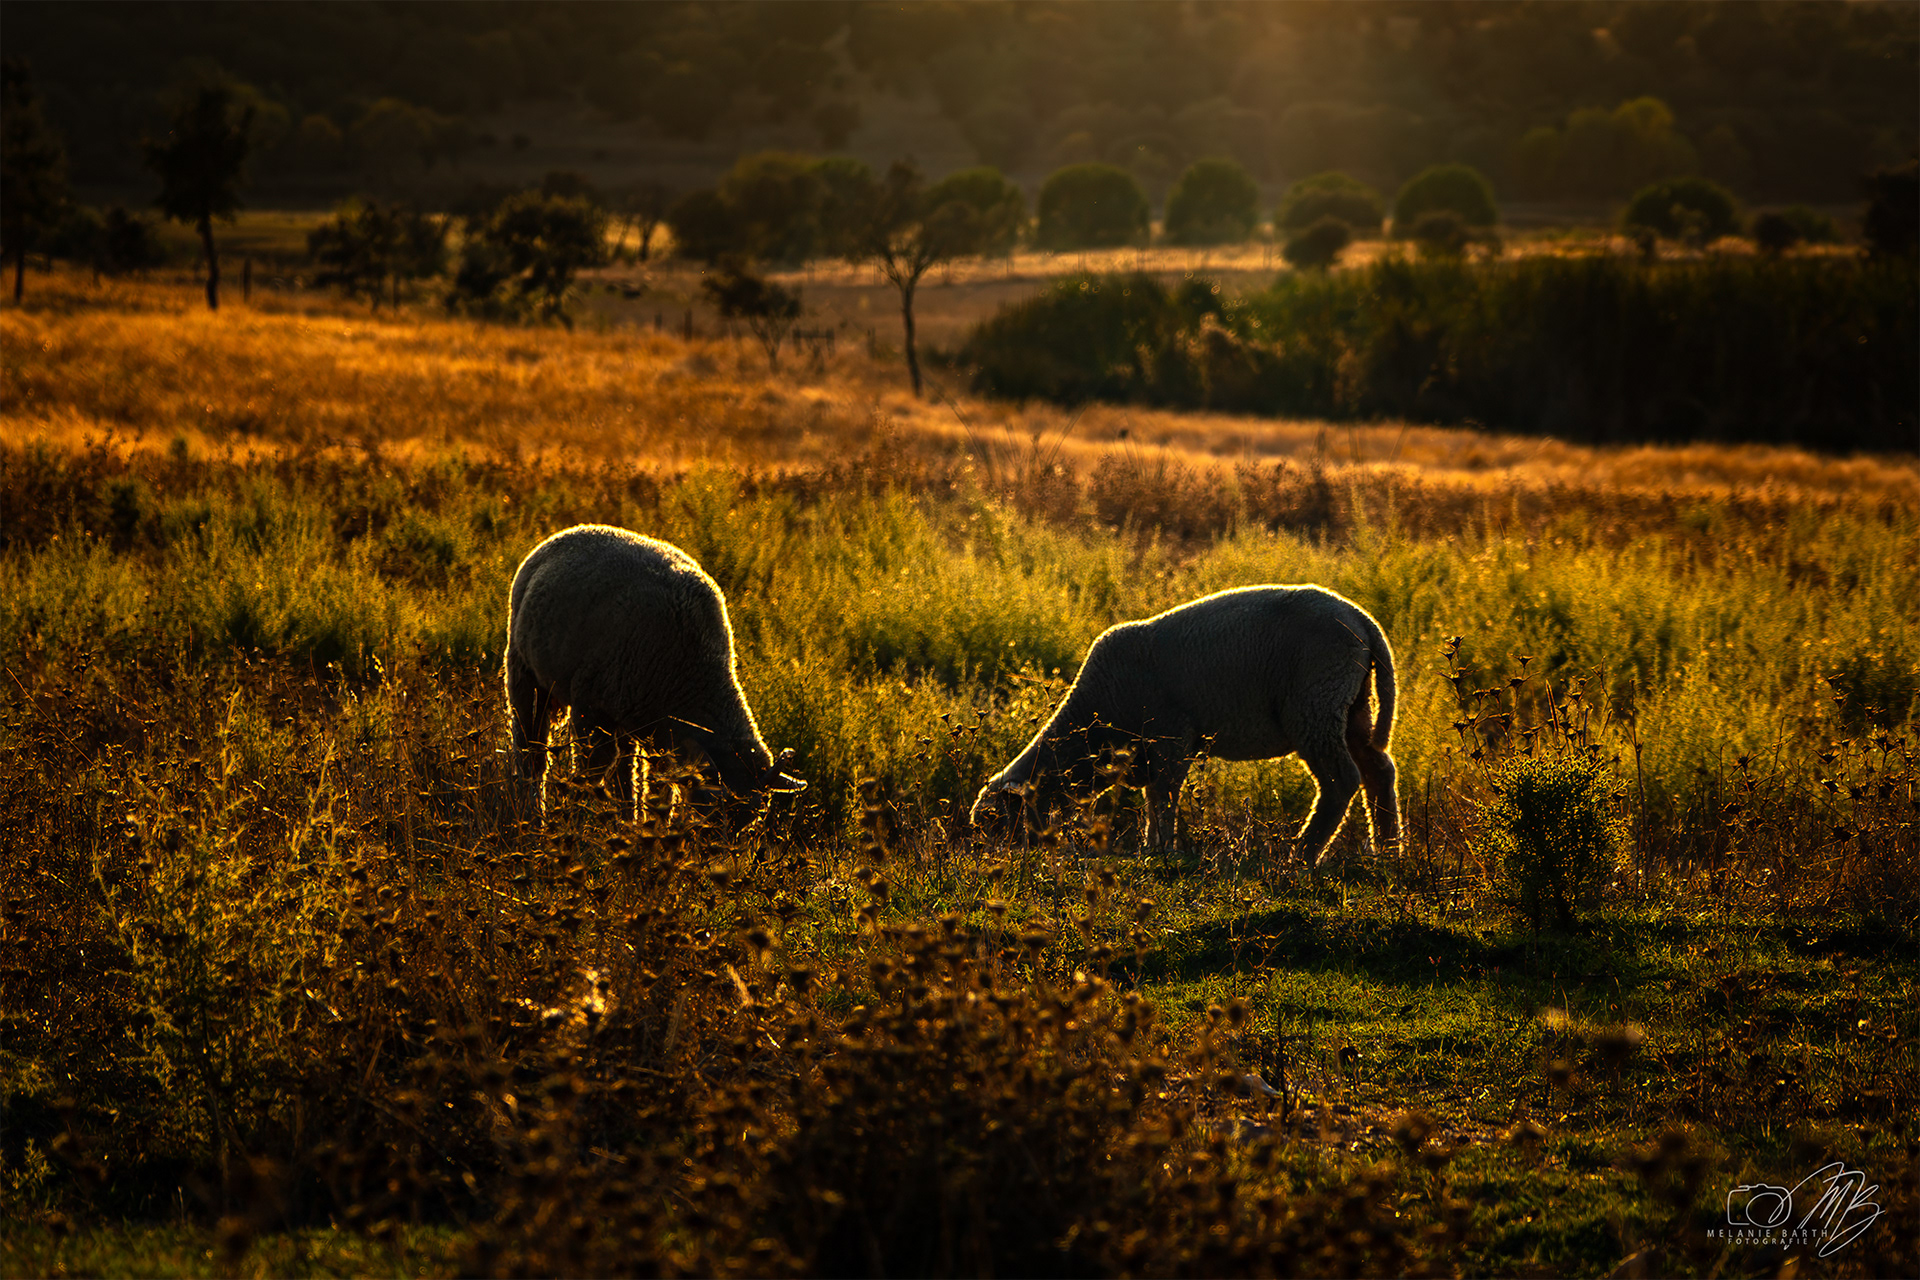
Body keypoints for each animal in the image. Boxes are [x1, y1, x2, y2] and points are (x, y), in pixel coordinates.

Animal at [505, 524, 803, 822]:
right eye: (716, 812)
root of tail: (571, 530)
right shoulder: (590, 711)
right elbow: (592, 772)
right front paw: (576, 817)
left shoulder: (659, 729)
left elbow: (662, 786)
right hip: (523, 673)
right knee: (530, 750)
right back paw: (532, 810)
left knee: (625, 771)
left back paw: (626, 819)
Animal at [970, 585, 1398, 866]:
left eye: (996, 823)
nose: (989, 863)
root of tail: (1365, 623)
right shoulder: (1148, 750)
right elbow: (1153, 797)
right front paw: (1152, 846)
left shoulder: (1170, 735)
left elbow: (1164, 796)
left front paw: (1161, 850)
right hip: (1352, 705)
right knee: (1378, 769)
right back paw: (1390, 849)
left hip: (1315, 701)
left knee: (1341, 780)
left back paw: (1302, 855)